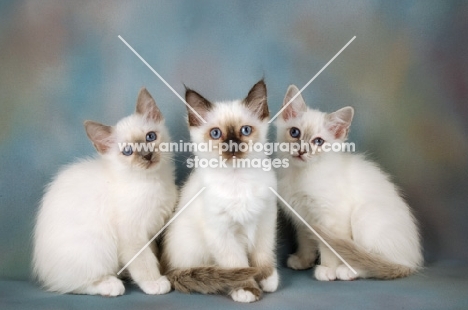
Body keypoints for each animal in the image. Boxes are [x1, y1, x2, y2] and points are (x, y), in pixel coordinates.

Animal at [32, 87, 176, 296]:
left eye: (150, 137)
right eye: (127, 151)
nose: (147, 155)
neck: (152, 181)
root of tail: (42, 272)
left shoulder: (149, 233)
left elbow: (153, 255)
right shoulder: (132, 235)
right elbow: (145, 262)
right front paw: (154, 282)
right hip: (95, 248)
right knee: (74, 284)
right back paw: (110, 284)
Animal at [162, 80, 278, 302]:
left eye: (245, 130)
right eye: (216, 133)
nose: (232, 144)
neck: (238, 180)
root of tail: (166, 270)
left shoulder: (265, 222)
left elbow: (262, 255)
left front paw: (267, 277)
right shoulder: (221, 234)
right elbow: (238, 265)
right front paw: (247, 289)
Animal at [276, 85, 422, 280]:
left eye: (318, 141)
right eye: (294, 132)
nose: (301, 151)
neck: (299, 174)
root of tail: (411, 263)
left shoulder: (332, 217)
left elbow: (330, 247)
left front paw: (327, 269)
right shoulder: (301, 216)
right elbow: (305, 241)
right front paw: (303, 260)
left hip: (364, 215)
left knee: (372, 261)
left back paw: (348, 271)